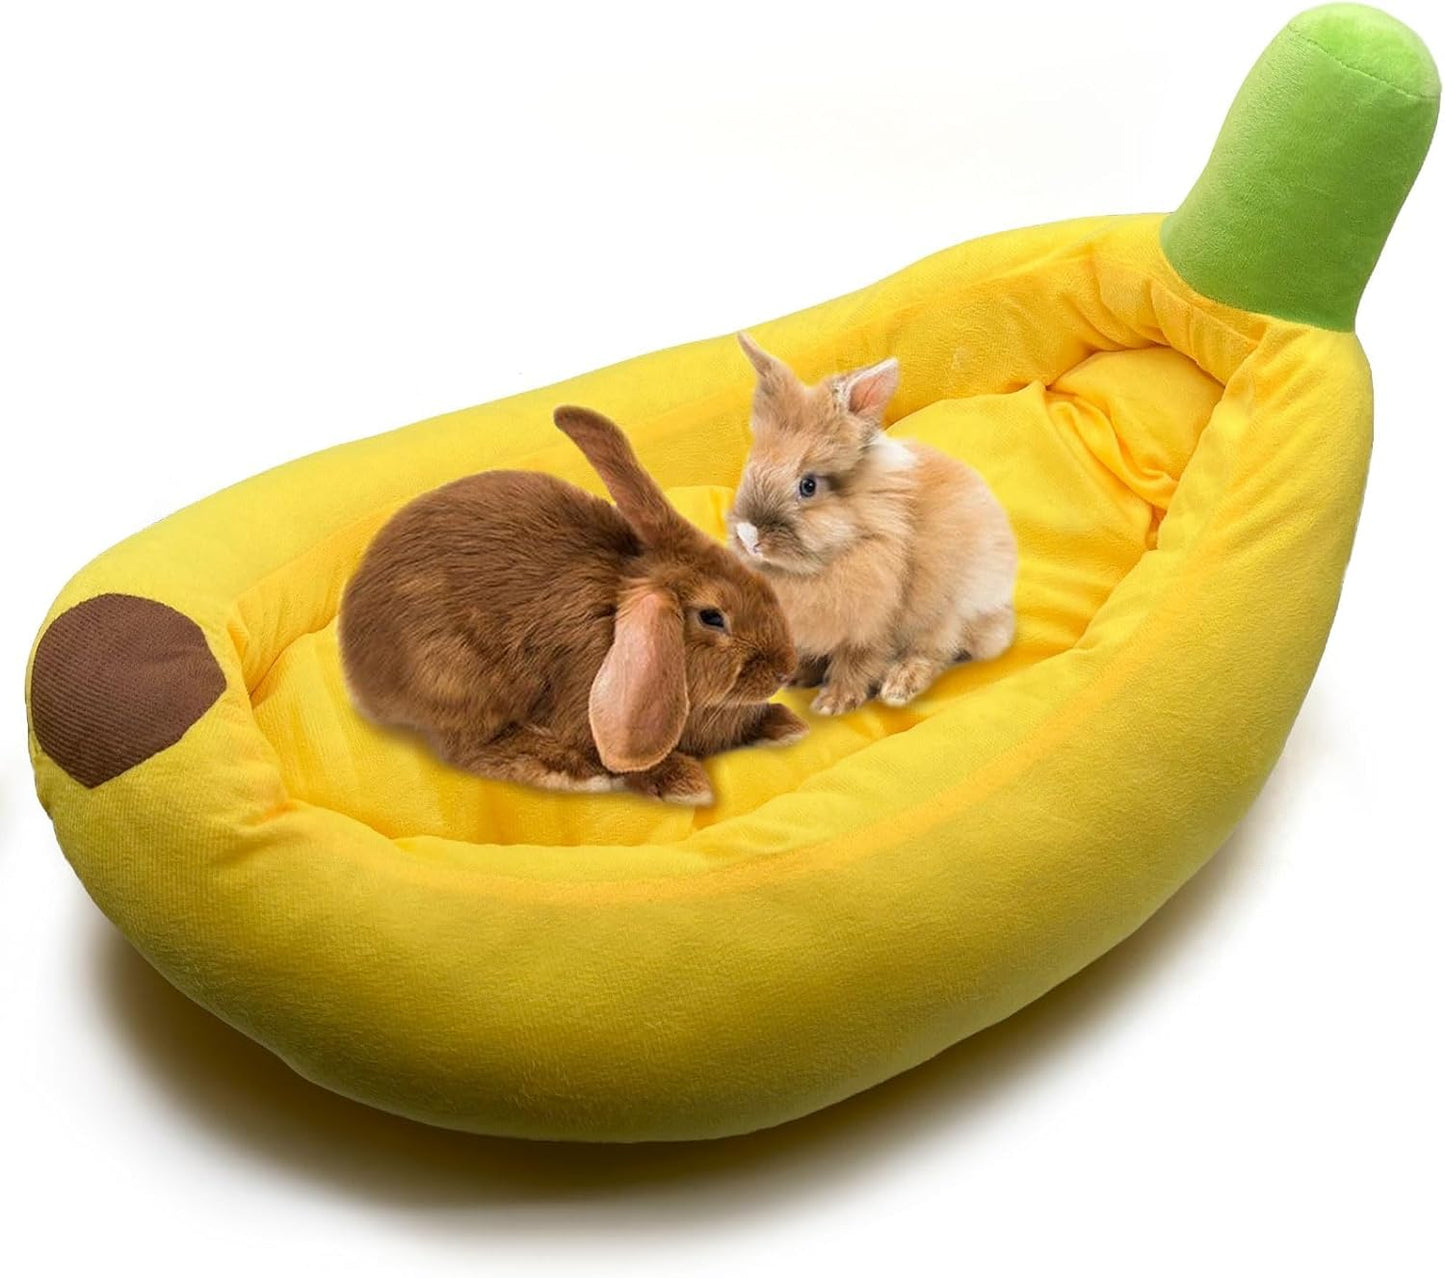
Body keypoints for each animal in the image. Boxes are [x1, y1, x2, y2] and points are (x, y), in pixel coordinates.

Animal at [338, 405, 806, 806]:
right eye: (712, 617)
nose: (784, 669)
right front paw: (682, 783)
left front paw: (784, 725)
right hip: (457, 677)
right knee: (471, 749)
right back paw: (576, 771)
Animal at [727, 333, 1017, 716]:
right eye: (750, 466)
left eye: (808, 486)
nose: (749, 537)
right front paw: (798, 676)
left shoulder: (873, 624)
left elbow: (857, 663)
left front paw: (832, 704)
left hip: (950, 615)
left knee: (935, 653)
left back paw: (898, 687)